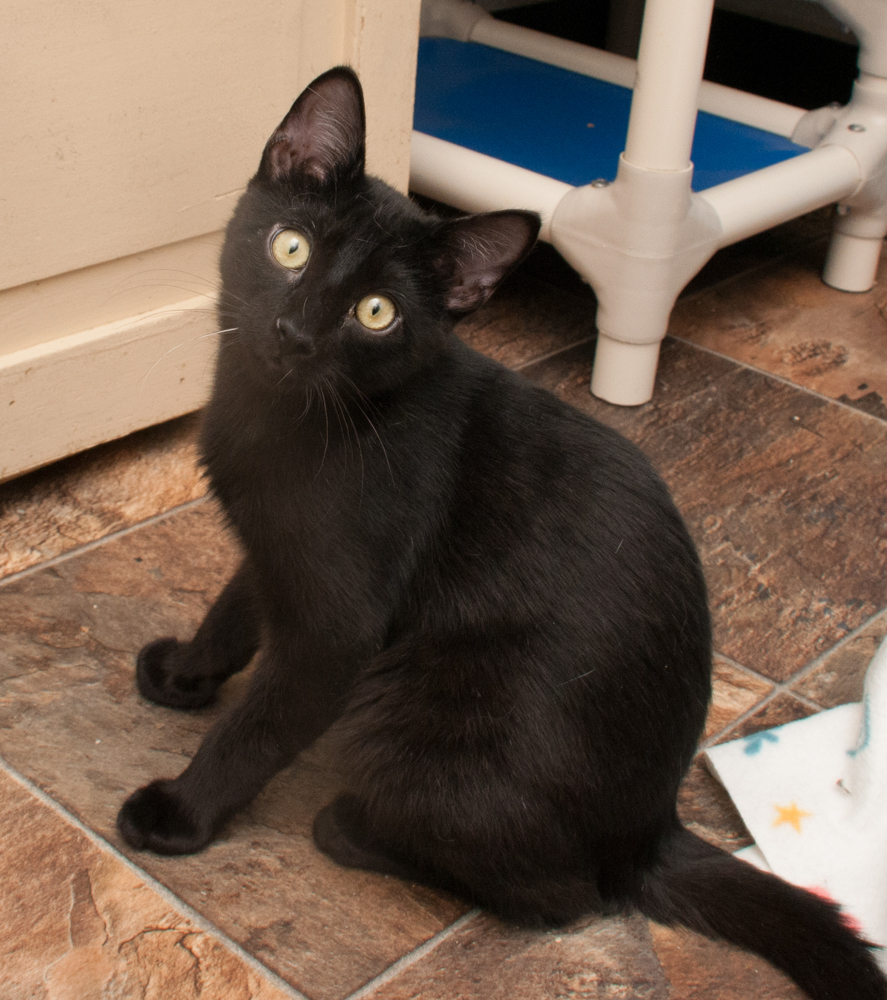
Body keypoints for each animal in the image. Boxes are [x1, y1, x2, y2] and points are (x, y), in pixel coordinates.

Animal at [116, 66, 880, 996]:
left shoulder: (338, 627)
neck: (282, 416)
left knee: (563, 899)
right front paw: (185, 674)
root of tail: (648, 831)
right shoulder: (277, 552)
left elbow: (257, 728)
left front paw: (182, 810)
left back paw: (352, 830)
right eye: (288, 248)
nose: (292, 335)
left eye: (376, 312)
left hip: (416, 710)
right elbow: (234, 609)